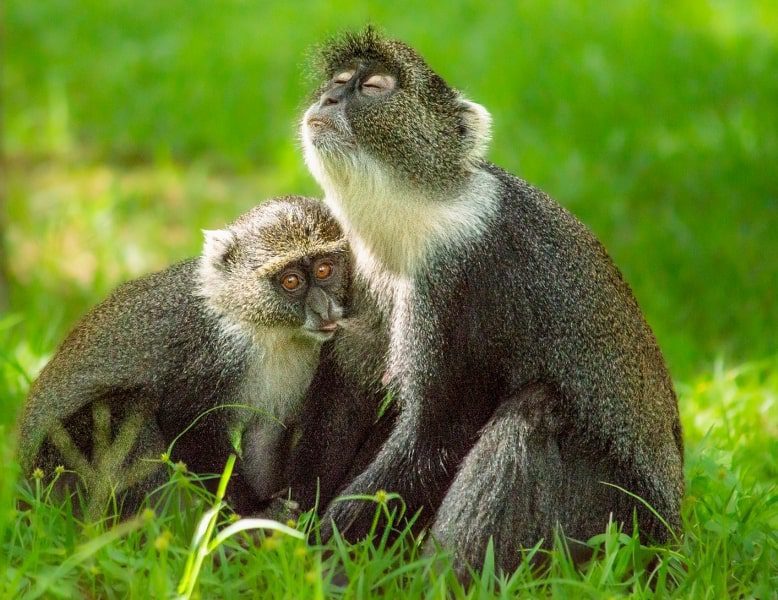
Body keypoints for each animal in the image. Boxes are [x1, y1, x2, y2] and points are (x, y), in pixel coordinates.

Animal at [17, 195, 351, 518]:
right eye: (291, 281)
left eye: (324, 270)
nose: (324, 309)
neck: (267, 327)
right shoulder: (210, 355)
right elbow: (188, 426)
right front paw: (254, 511)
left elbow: (265, 435)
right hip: (56, 462)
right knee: (126, 409)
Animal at [287, 27, 685, 576]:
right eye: (338, 81)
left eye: (371, 88)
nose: (328, 99)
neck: (414, 214)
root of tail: (674, 544)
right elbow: (345, 399)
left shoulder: (465, 275)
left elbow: (437, 433)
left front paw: (312, 558)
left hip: (613, 527)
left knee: (534, 410)